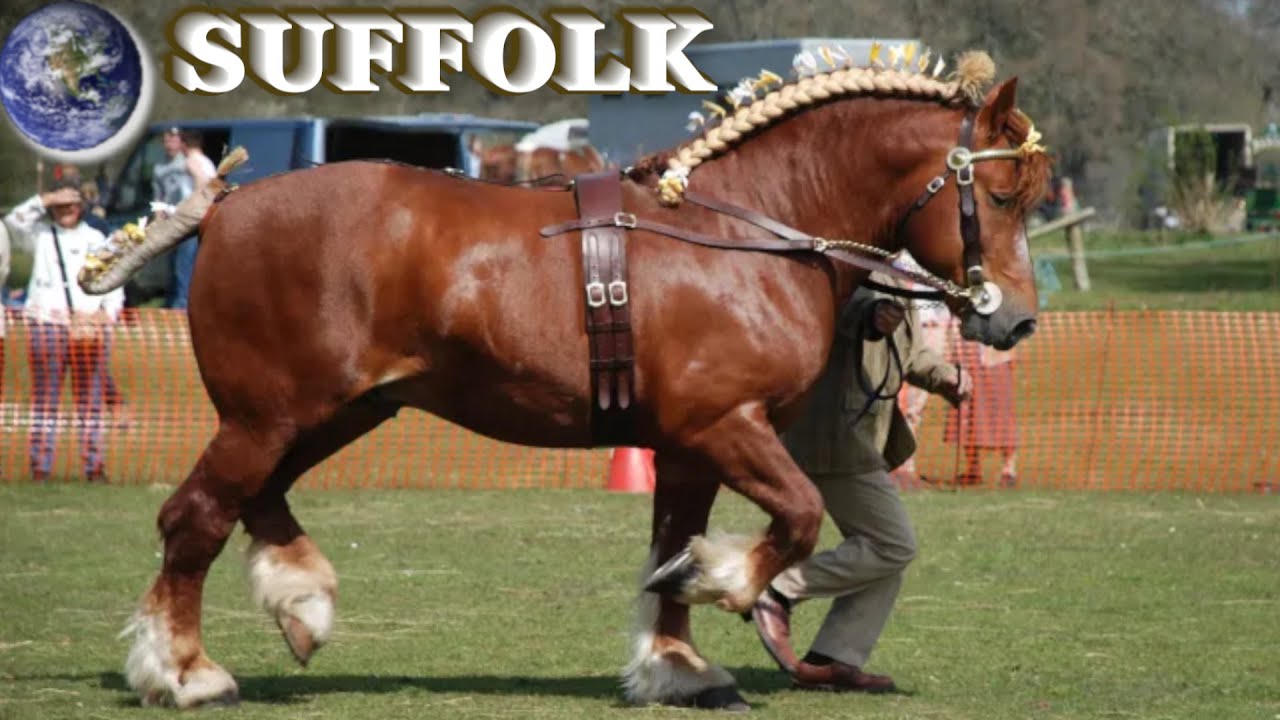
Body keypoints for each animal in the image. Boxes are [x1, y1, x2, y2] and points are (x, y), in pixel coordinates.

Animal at [80, 49, 1050, 711]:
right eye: (1002, 199)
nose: (1014, 320)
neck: (749, 233)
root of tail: (228, 206)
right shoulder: (724, 426)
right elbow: (799, 517)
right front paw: (723, 584)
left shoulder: (686, 447)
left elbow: (673, 541)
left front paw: (677, 664)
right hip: (269, 416)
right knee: (196, 518)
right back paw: (187, 671)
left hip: (337, 413)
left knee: (256, 501)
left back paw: (299, 603)